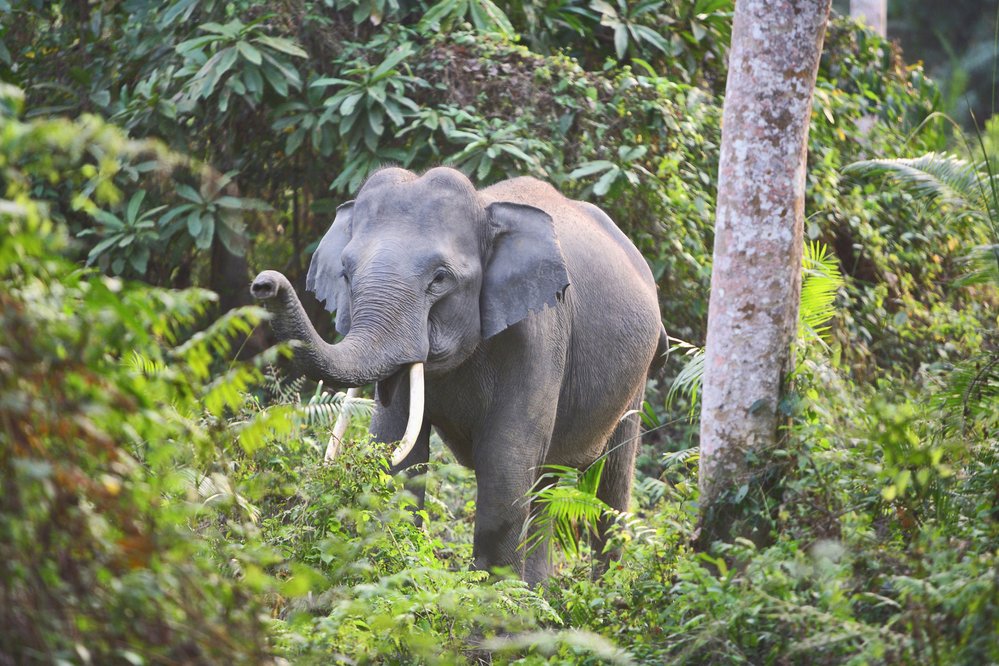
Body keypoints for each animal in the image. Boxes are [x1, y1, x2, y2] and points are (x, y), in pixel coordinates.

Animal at [250, 165, 668, 580]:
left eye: (440, 279)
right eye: (346, 275)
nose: (264, 283)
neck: (486, 209)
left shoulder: (540, 333)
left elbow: (505, 465)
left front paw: (492, 595)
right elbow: (397, 456)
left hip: (638, 374)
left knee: (611, 483)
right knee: (546, 484)